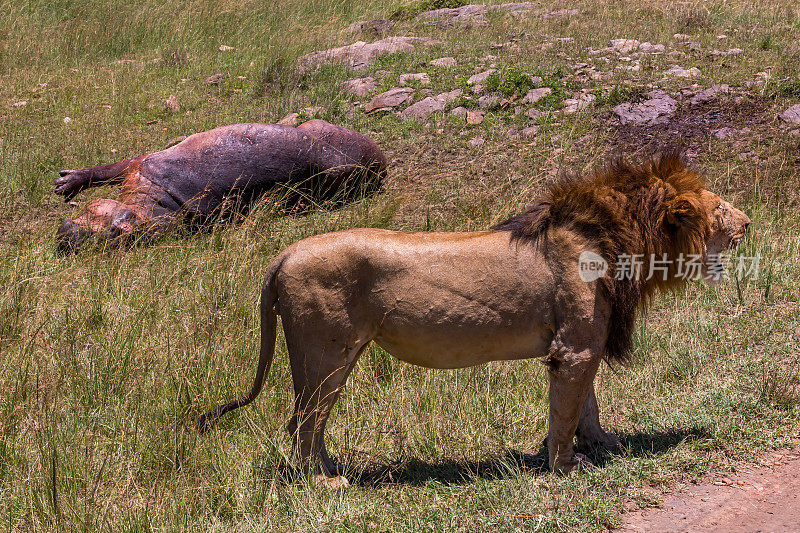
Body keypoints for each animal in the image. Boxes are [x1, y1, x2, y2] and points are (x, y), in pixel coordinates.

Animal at [54, 120, 386, 251]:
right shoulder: (137, 168)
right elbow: (109, 169)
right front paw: (66, 183)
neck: (158, 203)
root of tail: (379, 163)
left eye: (116, 234)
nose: (69, 237)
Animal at [194, 152, 752, 484]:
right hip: (325, 354)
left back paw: (332, 469)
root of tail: (284, 254)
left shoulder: (582, 341)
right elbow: (567, 410)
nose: (749, 222)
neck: (619, 237)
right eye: (720, 209)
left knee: (308, 421)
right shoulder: (573, 347)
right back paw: (326, 481)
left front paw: (601, 444)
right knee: (303, 421)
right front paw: (565, 465)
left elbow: (587, 403)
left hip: (333, 356)